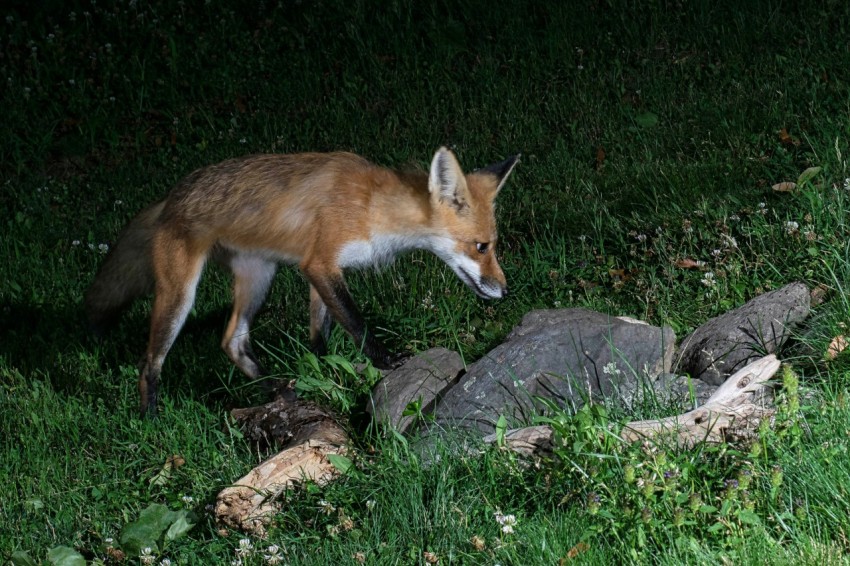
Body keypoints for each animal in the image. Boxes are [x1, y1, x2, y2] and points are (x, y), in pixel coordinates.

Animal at [86, 148, 520, 418]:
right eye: (481, 246)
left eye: (494, 245)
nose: (504, 289)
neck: (372, 208)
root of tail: (170, 197)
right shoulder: (320, 263)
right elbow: (356, 322)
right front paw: (386, 360)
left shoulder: (322, 271)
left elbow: (319, 335)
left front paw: (324, 373)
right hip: (180, 296)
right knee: (150, 362)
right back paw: (151, 418)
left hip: (259, 277)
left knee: (232, 340)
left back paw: (274, 390)